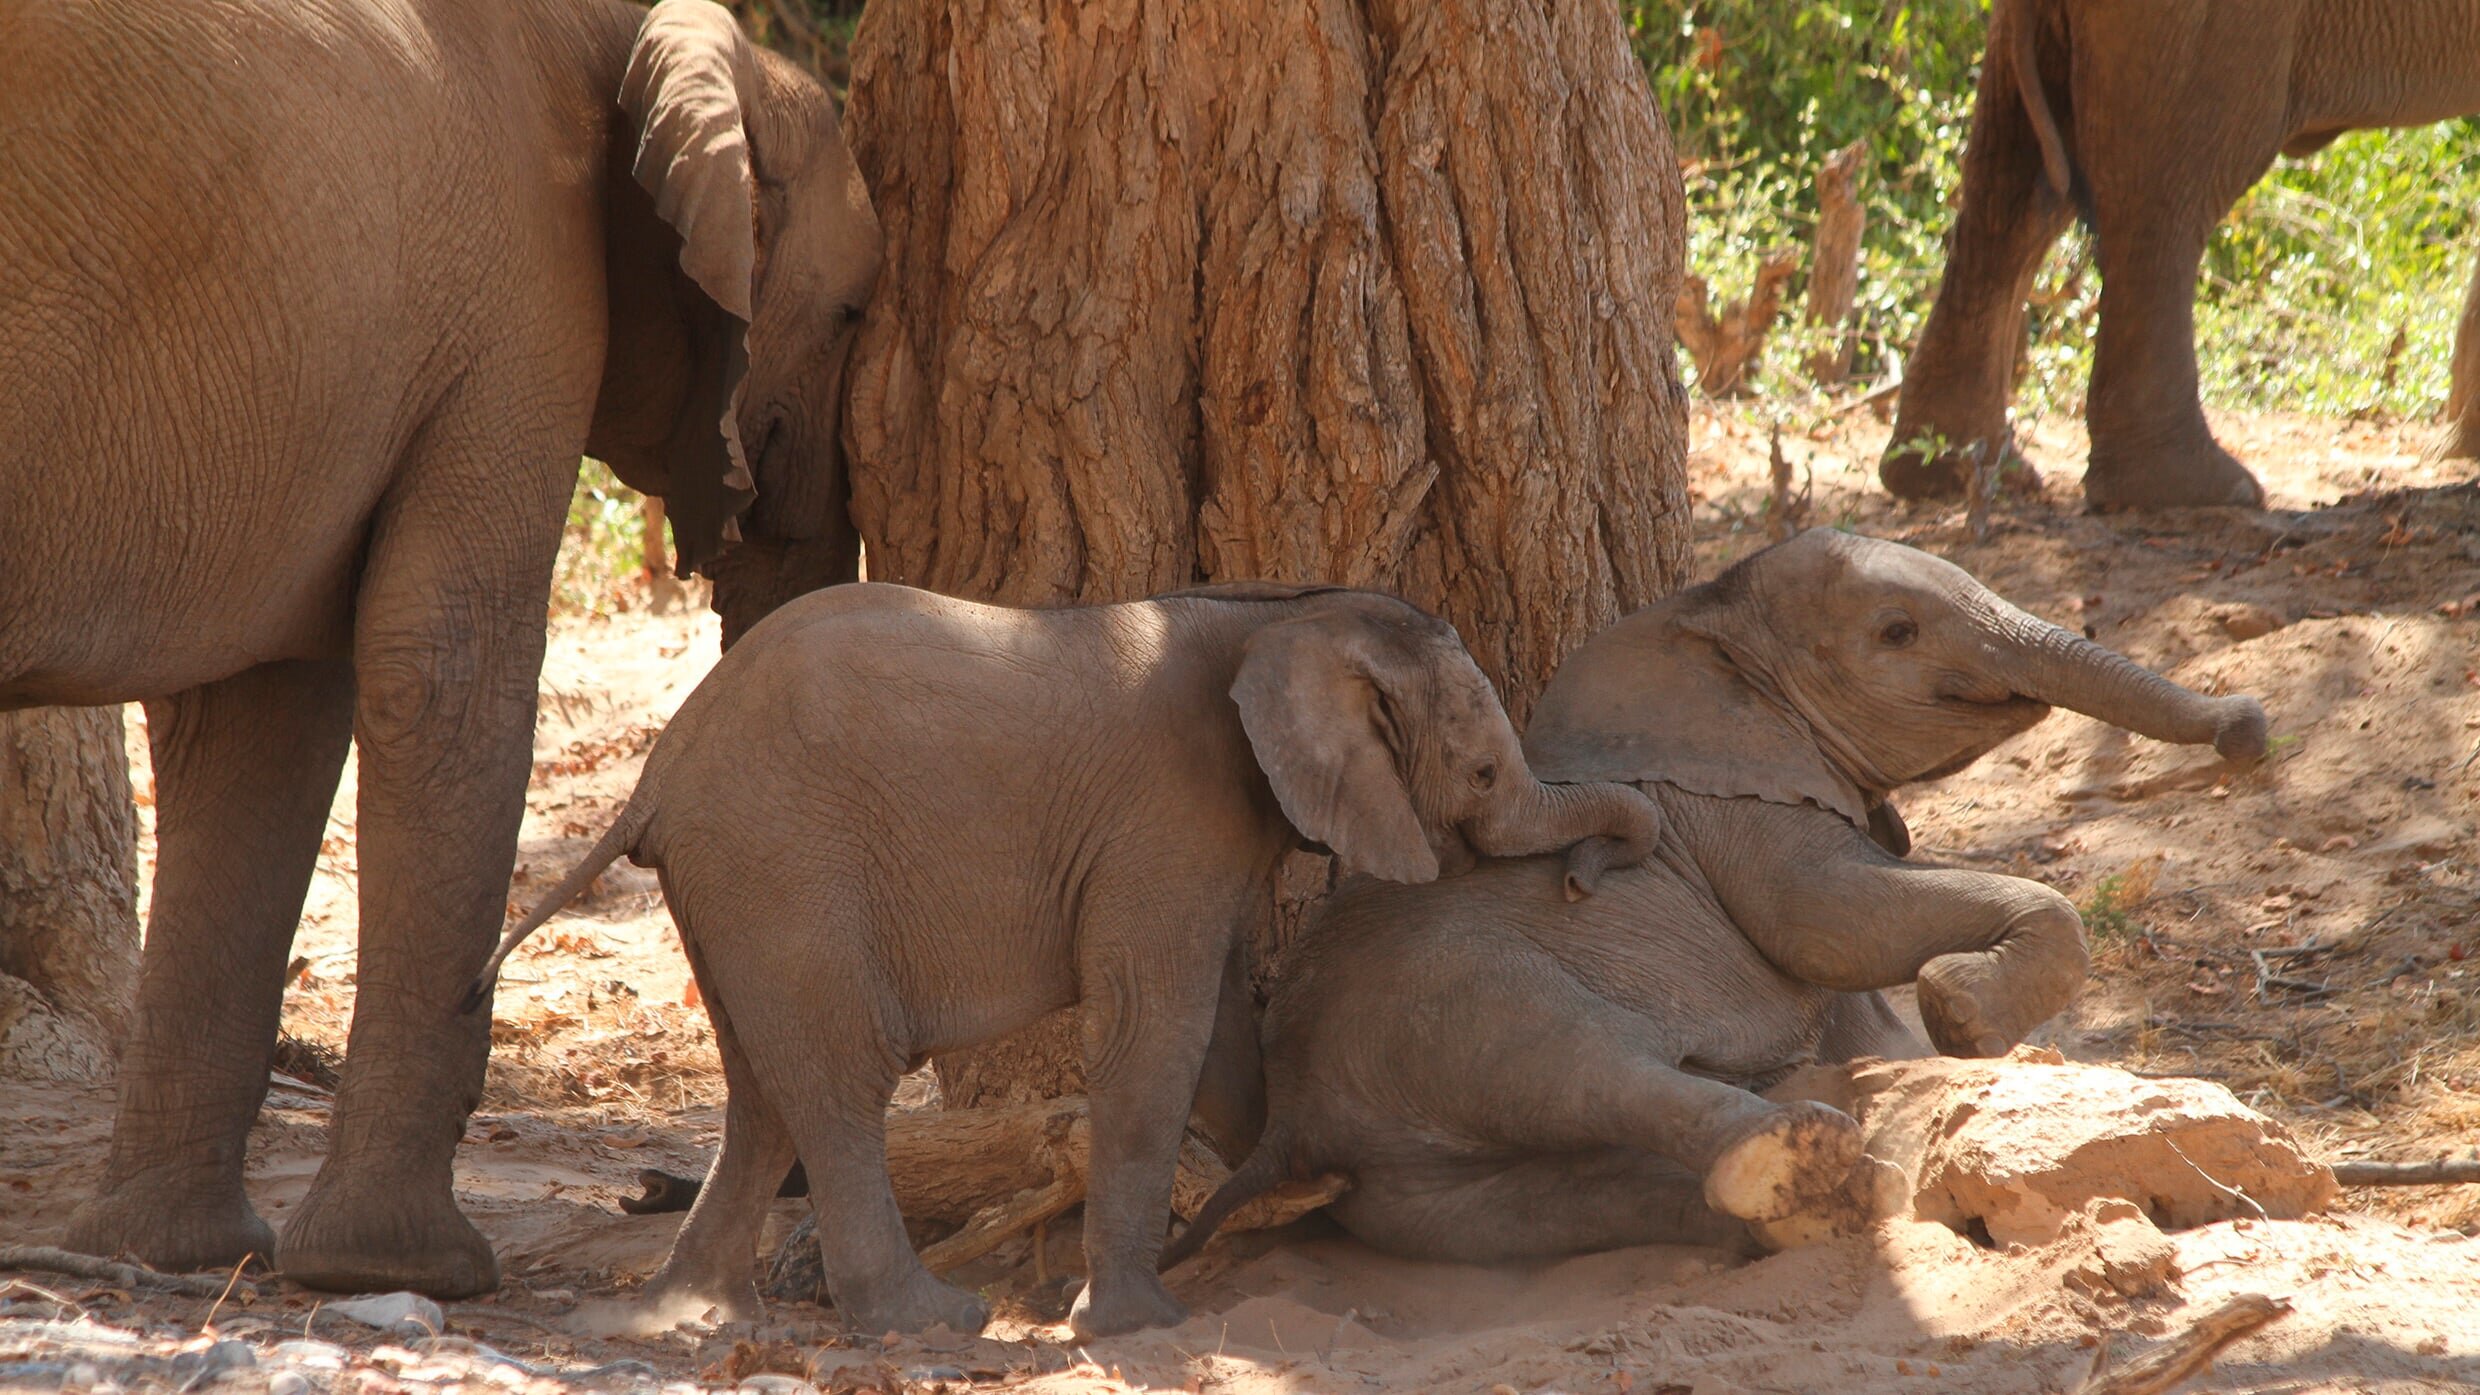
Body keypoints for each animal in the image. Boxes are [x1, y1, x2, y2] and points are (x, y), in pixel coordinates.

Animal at [0, 0, 882, 1290]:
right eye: (856, 314)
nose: (649, 1190)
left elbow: (261, 711)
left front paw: (170, 1255)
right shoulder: (518, 299)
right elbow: (446, 662)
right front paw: (399, 1271)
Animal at [466, 578, 1666, 1340]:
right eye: (1480, 773)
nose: (1583, 880)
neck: (1281, 619)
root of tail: (656, 772)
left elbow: (1216, 1021)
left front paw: (1296, 1190)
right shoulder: (1168, 812)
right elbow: (1156, 1021)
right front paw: (1136, 1326)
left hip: (732, 882)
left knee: (763, 1087)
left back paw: (682, 1316)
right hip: (782, 861)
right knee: (841, 1078)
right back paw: (926, 1324)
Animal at [1160, 528, 2271, 1260]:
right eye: (1897, 631)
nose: (2247, 729)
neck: (1697, 617)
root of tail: (1295, 1125)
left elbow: (1858, 995)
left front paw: (1946, 1028)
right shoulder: (1737, 815)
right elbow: (1829, 925)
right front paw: (1960, 1011)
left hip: (1408, 1192)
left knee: (1550, 1202)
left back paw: (1811, 1207)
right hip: (1444, 1007)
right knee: (1591, 1064)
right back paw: (1803, 1162)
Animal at [1874, 0, 2480, 508]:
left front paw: (2460, 452)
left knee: (2012, 185)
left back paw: (1950, 474)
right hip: (2202, 26)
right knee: (2166, 192)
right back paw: (2199, 491)